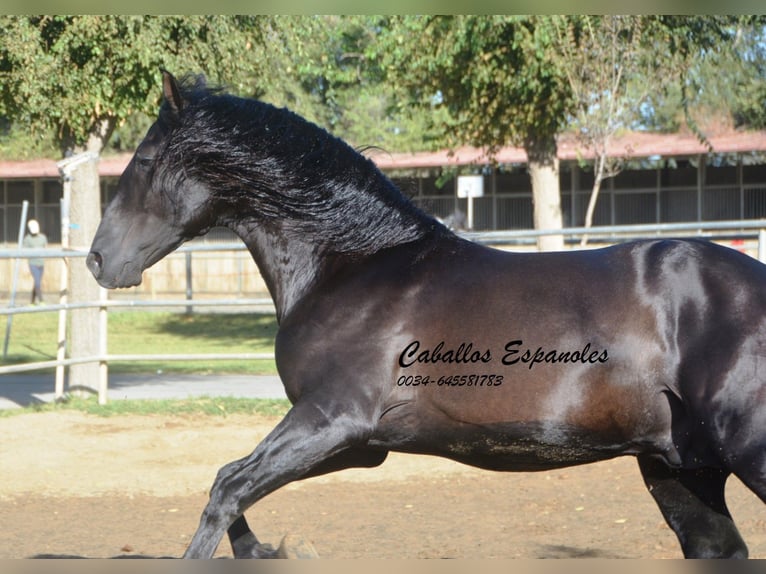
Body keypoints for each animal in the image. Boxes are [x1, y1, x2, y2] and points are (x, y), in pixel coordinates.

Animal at [87, 71, 764, 560]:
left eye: (143, 161)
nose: (98, 260)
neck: (351, 264)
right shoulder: (364, 445)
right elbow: (231, 477)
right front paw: (271, 550)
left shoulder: (332, 418)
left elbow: (226, 487)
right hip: (678, 470)